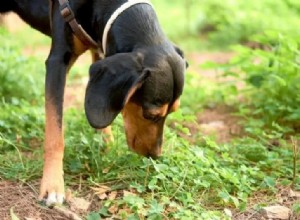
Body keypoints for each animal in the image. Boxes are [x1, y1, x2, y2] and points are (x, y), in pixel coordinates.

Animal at [1, 0, 186, 206]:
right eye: (150, 115)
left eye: (172, 111)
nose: (154, 156)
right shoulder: (58, 61)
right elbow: (55, 134)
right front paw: (53, 185)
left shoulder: (101, 49)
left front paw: (107, 145)